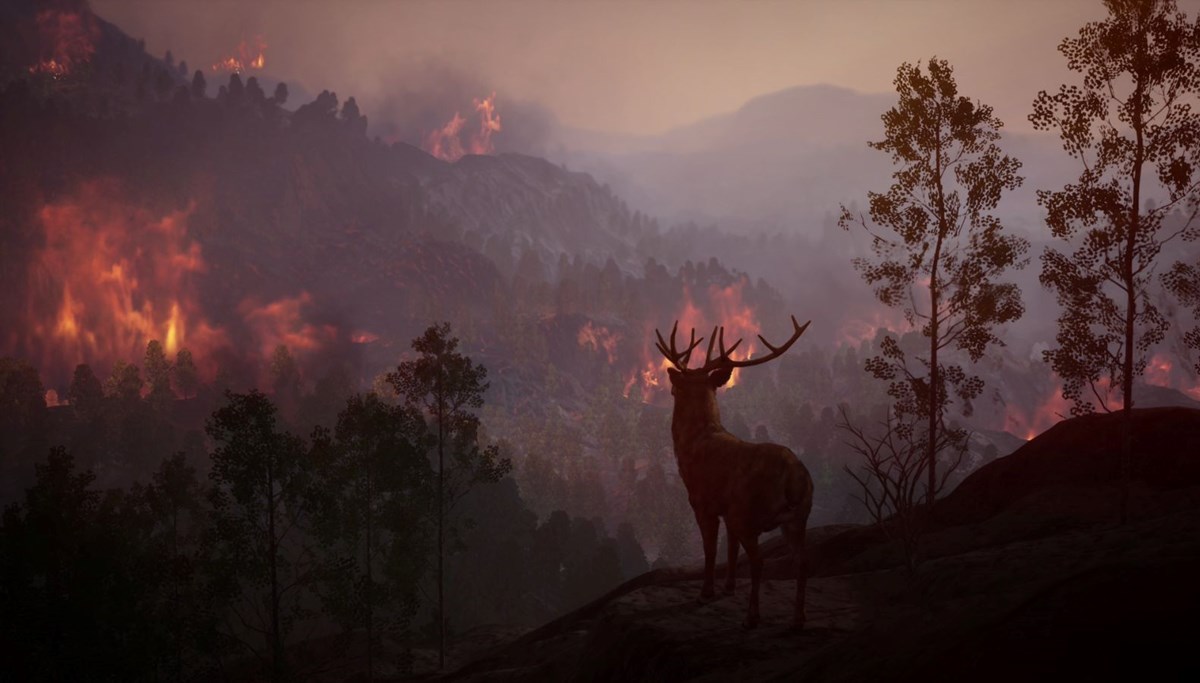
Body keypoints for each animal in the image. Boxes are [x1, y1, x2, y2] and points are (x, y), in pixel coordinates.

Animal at [657, 314, 816, 628]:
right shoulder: (727, 509)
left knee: (759, 561)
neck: (694, 440)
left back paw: (752, 617)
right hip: (798, 516)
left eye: (679, 383)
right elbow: (730, 547)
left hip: (749, 512)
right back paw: (798, 619)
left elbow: (710, 548)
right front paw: (728, 587)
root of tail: (794, 478)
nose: (669, 384)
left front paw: (706, 593)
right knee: (802, 561)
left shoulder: (703, 502)